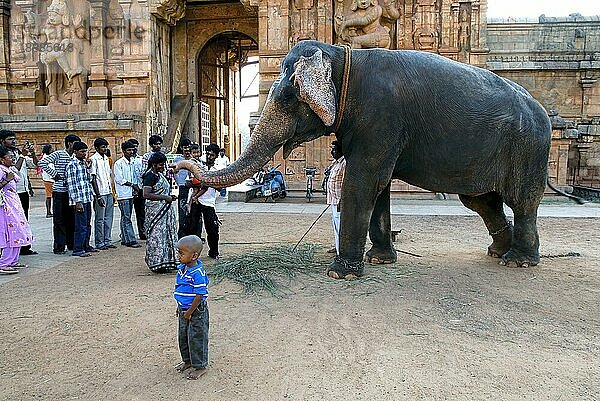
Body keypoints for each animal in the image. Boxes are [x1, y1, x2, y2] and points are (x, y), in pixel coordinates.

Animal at [178, 39, 552, 278]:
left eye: (287, 95)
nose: (182, 166)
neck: (343, 57)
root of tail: (541, 109)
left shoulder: (381, 118)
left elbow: (362, 183)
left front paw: (340, 274)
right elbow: (379, 188)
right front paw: (379, 261)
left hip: (527, 147)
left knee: (521, 201)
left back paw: (518, 262)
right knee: (481, 201)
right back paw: (499, 252)